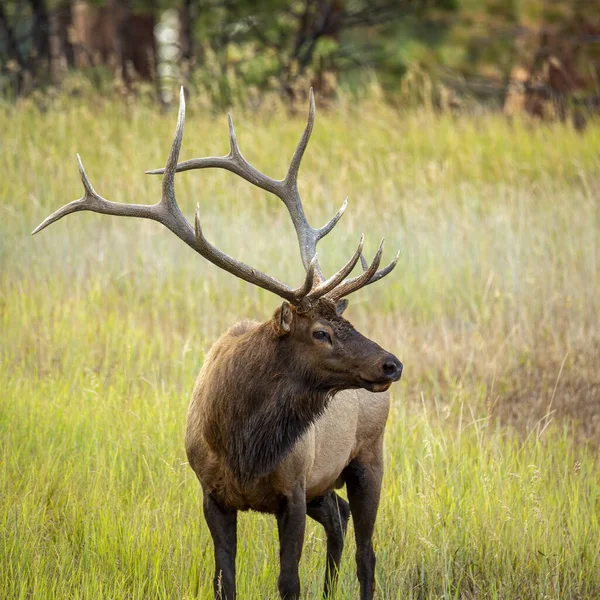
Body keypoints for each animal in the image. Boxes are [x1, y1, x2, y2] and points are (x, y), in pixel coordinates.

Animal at [36, 89, 404, 600]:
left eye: (344, 322)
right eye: (320, 332)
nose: (391, 364)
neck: (241, 444)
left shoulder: (293, 489)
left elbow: (288, 582)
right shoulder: (212, 494)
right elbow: (223, 580)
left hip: (368, 455)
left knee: (366, 554)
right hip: (327, 484)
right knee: (339, 517)